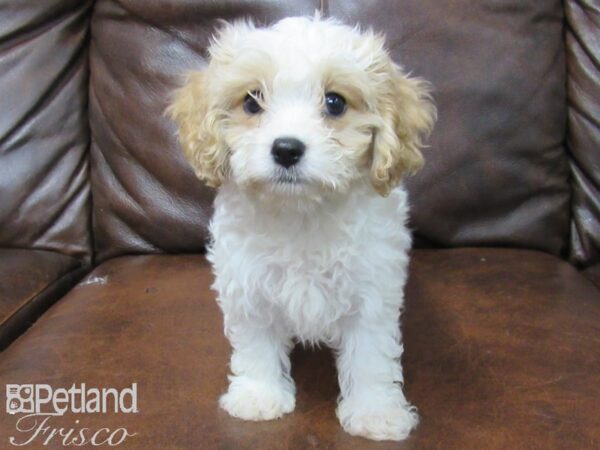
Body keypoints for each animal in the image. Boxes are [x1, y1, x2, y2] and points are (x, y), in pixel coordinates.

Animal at [169, 15, 436, 442]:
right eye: (252, 101)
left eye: (335, 102)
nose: (286, 149)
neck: (301, 213)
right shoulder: (249, 284)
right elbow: (256, 344)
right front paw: (259, 396)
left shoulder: (372, 291)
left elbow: (371, 356)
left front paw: (376, 412)